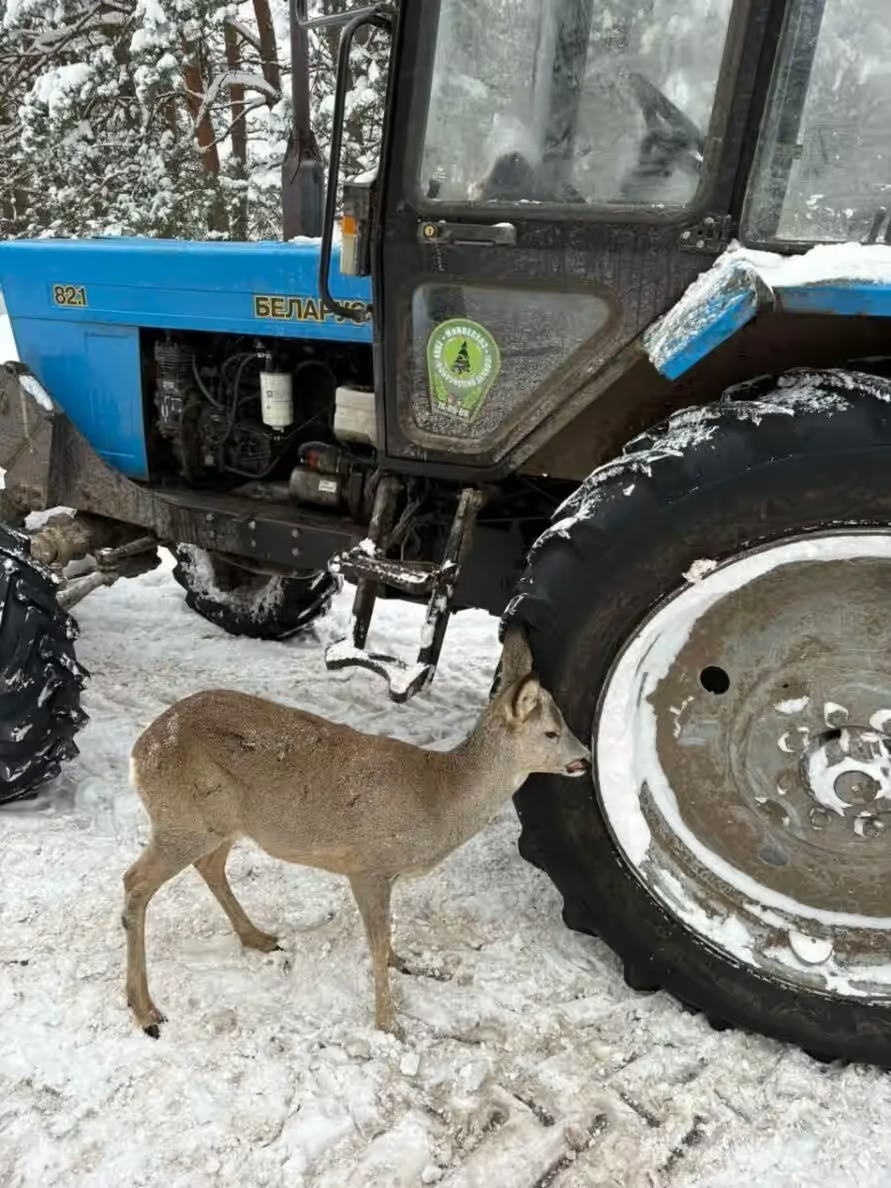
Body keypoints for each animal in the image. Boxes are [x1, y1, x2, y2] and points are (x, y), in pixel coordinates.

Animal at [122, 626, 590, 1038]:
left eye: (564, 723)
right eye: (551, 732)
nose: (585, 757)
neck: (439, 796)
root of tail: (140, 752)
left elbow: (388, 939)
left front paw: (404, 964)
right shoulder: (368, 866)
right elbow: (376, 944)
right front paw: (389, 1025)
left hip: (218, 823)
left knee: (209, 865)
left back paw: (258, 938)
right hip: (180, 818)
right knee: (136, 881)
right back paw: (145, 1011)